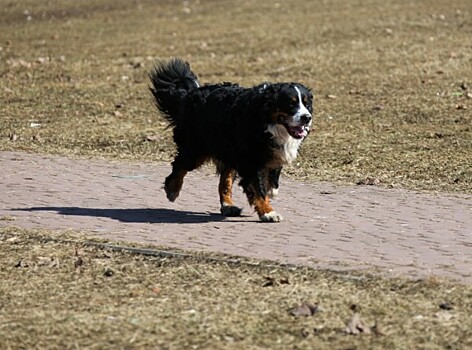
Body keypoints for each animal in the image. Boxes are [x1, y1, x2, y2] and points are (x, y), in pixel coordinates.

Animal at [150, 57, 314, 221]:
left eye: (307, 104)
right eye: (291, 104)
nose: (307, 117)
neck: (266, 120)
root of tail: (190, 93)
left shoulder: (272, 153)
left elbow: (272, 181)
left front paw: (268, 193)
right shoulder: (251, 160)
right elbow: (258, 188)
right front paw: (268, 212)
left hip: (227, 152)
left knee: (224, 182)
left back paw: (228, 205)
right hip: (196, 149)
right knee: (180, 166)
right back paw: (172, 189)